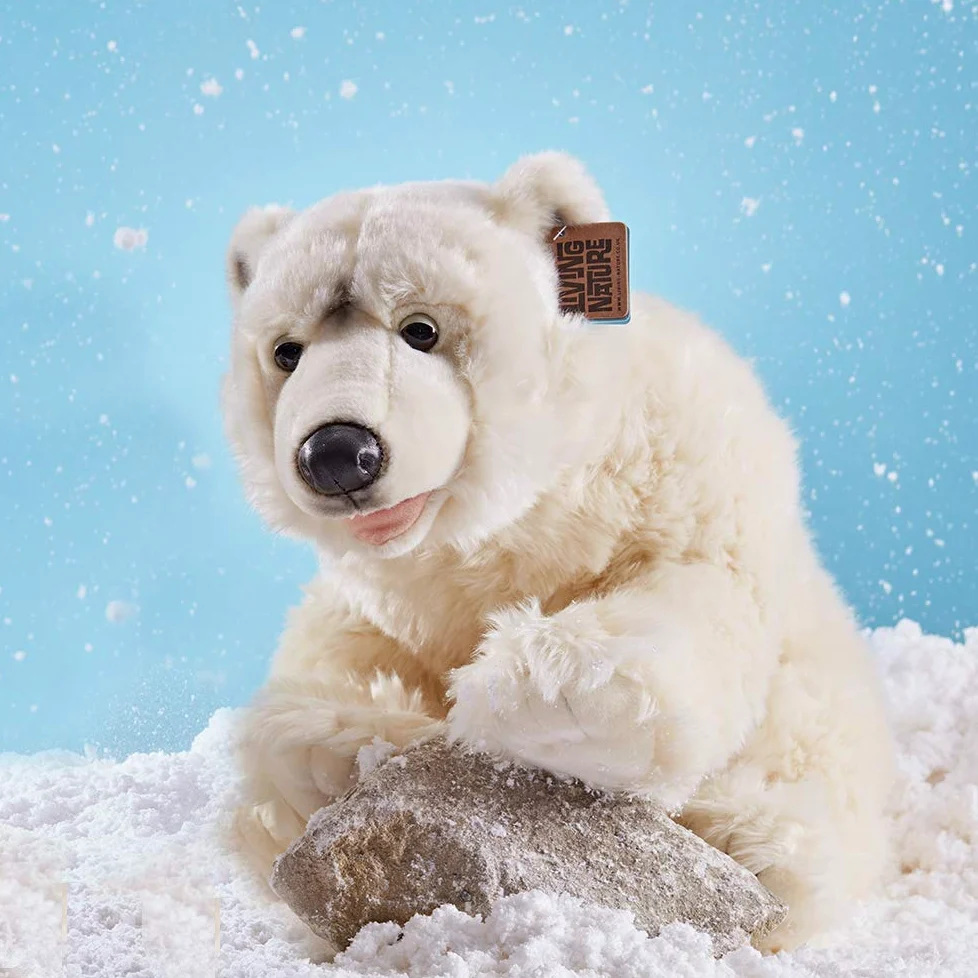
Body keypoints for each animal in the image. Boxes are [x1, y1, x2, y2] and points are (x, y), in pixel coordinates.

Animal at [221, 152, 895, 952]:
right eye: (285, 351)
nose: (335, 454)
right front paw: (333, 742)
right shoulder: (388, 596)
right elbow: (334, 652)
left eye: (421, 329)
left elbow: (696, 596)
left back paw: (746, 838)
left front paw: (553, 692)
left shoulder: (682, 479)